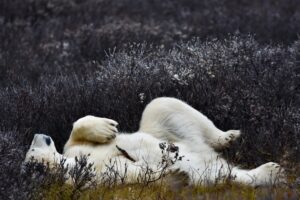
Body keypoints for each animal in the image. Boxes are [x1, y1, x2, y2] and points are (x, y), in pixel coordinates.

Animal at [24, 97, 284, 186]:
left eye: (31, 146)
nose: (39, 135)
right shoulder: (93, 181)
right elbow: (135, 175)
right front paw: (172, 173)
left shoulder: (75, 151)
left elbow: (74, 134)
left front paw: (107, 128)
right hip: (208, 172)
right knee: (224, 175)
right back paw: (272, 172)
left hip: (166, 131)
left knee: (162, 104)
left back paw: (230, 137)